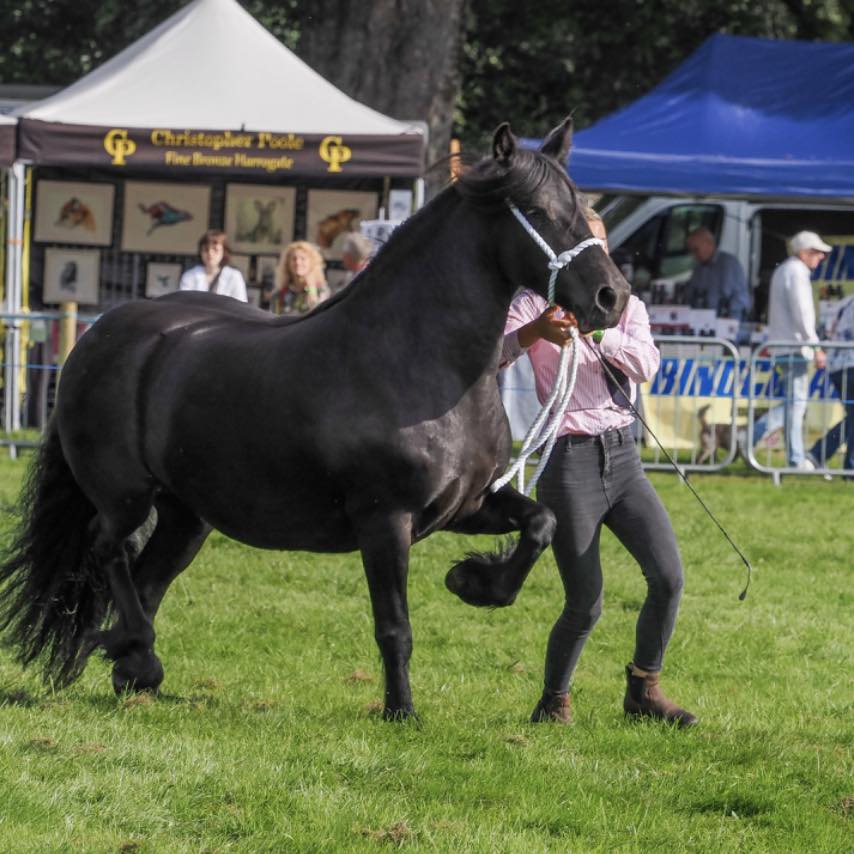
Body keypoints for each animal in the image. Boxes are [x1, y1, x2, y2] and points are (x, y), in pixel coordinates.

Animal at [0, 118, 629, 719]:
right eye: (541, 212)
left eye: (582, 207)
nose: (612, 297)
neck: (420, 363)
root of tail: (99, 333)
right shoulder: (384, 520)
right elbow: (394, 626)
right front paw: (401, 712)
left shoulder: (466, 505)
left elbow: (542, 522)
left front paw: (473, 582)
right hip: (126, 495)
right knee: (107, 548)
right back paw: (127, 647)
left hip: (187, 516)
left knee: (148, 576)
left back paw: (135, 664)